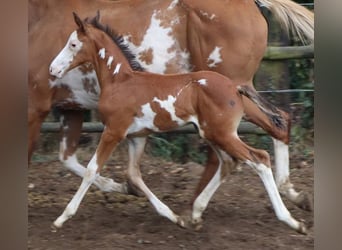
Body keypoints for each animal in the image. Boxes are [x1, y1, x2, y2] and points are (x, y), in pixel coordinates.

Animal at [28, 0, 314, 209]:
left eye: (73, 43)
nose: (53, 69)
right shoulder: (71, 108)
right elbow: (69, 158)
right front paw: (122, 187)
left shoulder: (37, 106)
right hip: (236, 95)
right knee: (277, 122)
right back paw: (293, 195)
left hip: (232, 92)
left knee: (243, 143)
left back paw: (197, 206)